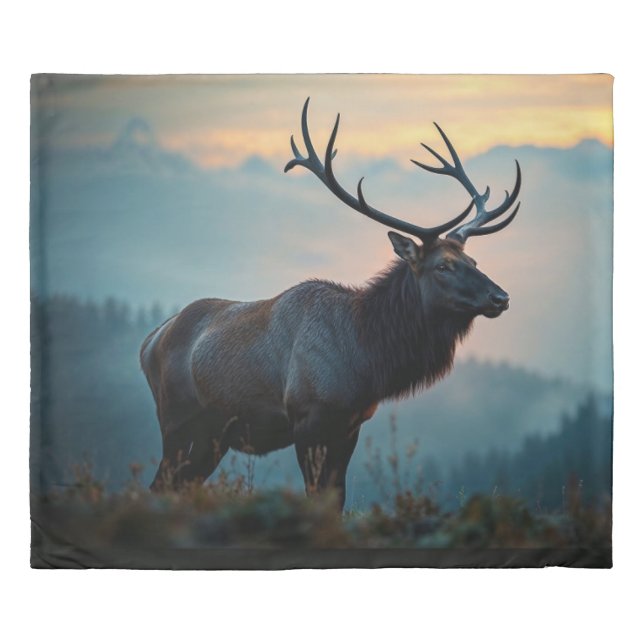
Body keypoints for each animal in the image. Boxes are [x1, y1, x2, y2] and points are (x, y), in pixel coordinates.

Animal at [140, 99, 521, 509]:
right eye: (443, 266)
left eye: (474, 261)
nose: (500, 297)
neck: (366, 358)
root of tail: (149, 341)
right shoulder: (309, 419)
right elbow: (317, 496)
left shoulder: (350, 425)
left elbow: (336, 498)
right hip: (178, 422)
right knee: (158, 485)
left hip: (211, 437)